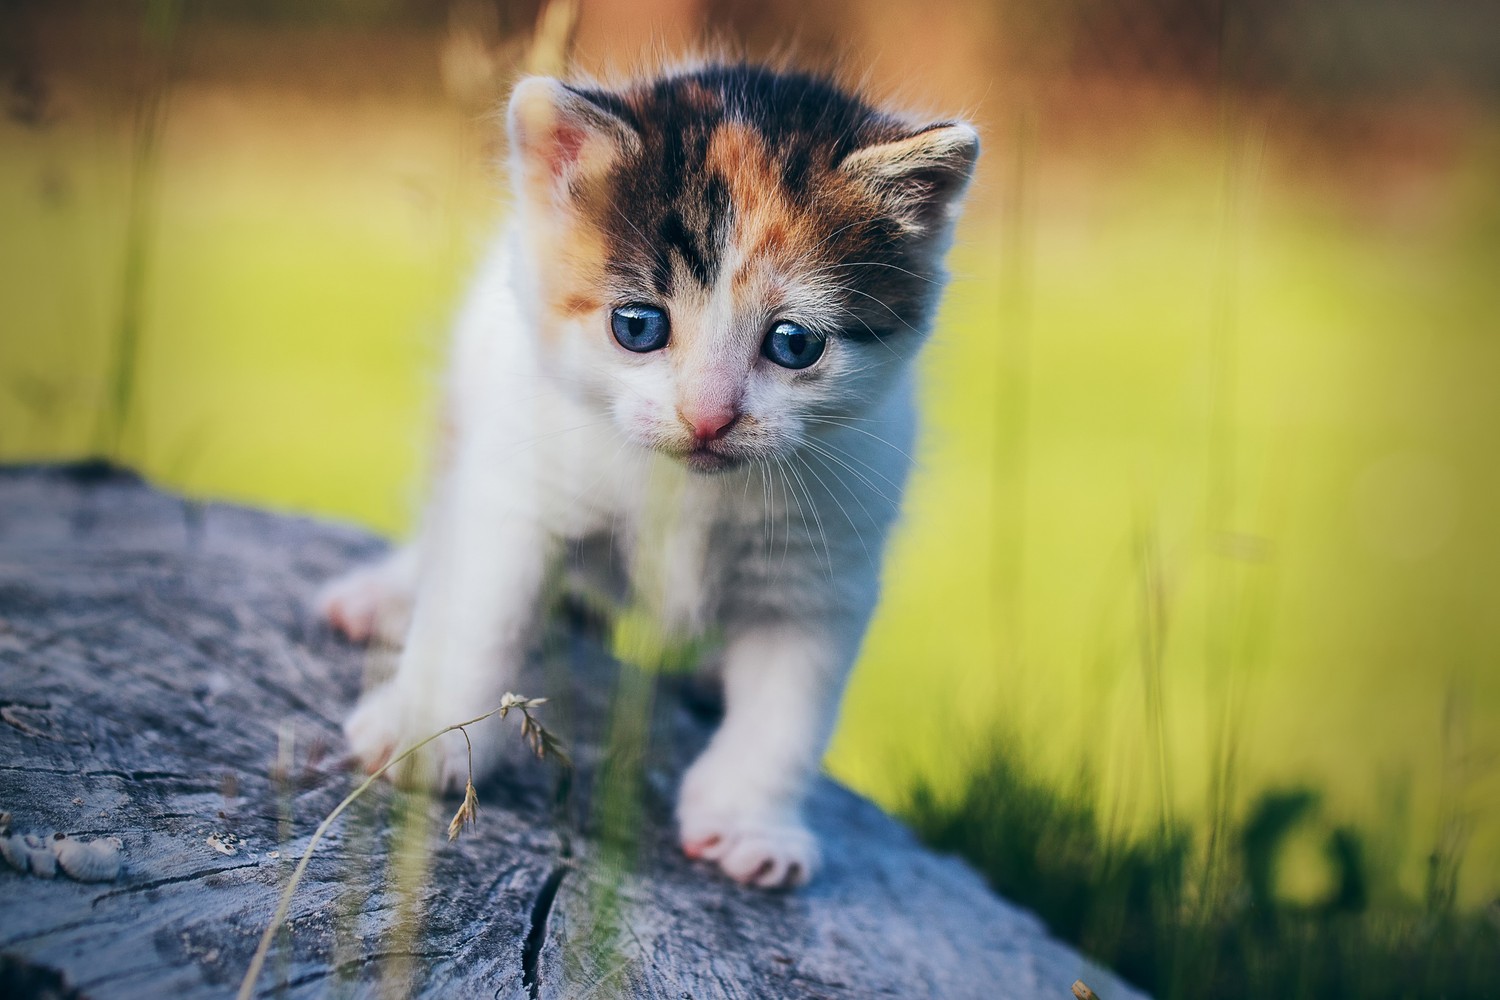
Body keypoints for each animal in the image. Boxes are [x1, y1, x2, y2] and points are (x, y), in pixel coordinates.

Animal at [318, 64, 978, 893]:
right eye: (638, 327)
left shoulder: (826, 562)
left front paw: (749, 824)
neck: (693, 489)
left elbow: (788, 709)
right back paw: (388, 595)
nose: (709, 417)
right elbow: (479, 612)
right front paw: (424, 731)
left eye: (794, 343)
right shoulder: (523, 489)